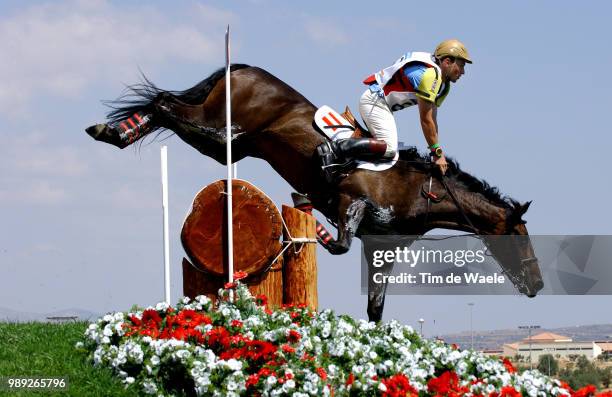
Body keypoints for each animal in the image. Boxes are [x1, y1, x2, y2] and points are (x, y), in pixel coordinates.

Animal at [87, 63, 544, 320]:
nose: (538, 285)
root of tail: (242, 68)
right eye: (522, 239)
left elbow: (375, 306)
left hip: (227, 143)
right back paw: (112, 129)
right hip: (225, 130)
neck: (420, 191)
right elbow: (338, 241)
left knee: (166, 109)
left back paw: (113, 131)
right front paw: (310, 224)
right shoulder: (349, 202)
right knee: (169, 105)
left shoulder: (381, 247)